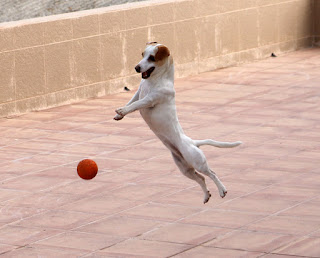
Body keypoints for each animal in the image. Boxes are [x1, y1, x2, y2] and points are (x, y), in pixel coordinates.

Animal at [114, 42, 241, 204]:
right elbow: (131, 101)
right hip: (185, 168)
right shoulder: (138, 93)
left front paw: (122, 110)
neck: (155, 80)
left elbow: (135, 105)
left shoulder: (150, 100)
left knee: (212, 173)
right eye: (142, 55)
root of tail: (193, 142)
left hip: (197, 161)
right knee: (201, 178)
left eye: (152, 58)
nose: (136, 68)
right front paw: (119, 115)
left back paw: (222, 189)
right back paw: (206, 195)